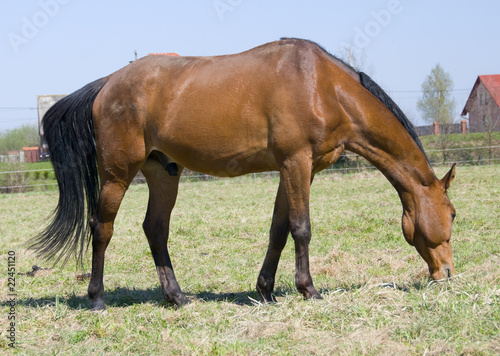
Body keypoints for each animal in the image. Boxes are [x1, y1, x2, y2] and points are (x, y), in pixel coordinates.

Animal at [31, 38, 458, 308]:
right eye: (453, 215)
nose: (447, 274)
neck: (322, 85)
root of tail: (108, 84)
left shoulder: (298, 169)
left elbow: (279, 230)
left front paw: (266, 290)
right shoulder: (296, 163)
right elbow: (301, 228)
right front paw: (308, 289)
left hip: (164, 173)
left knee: (155, 229)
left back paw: (178, 297)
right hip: (118, 173)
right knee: (101, 228)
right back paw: (97, 298)